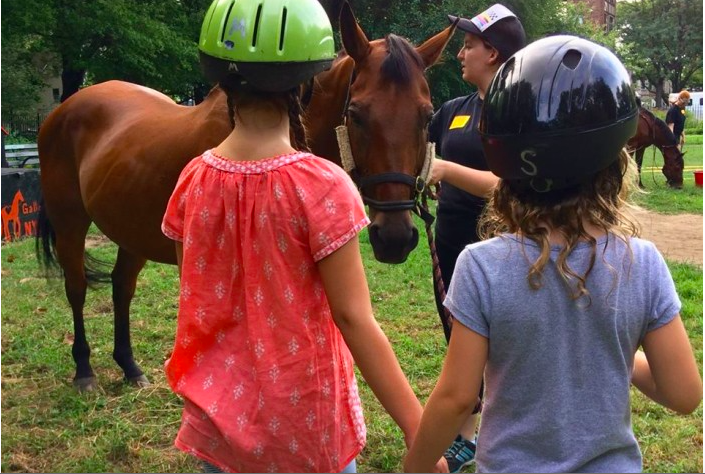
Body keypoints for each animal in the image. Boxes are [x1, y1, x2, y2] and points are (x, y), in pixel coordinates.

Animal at [35, 1, 454, 390]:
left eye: (426, 115)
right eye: (356, 113)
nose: (395, 237)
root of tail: (64, 108)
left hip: (131, 229)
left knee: (122, 287)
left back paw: (129, 366)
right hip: (71, 224)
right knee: (76, 288)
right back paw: (84, 370)